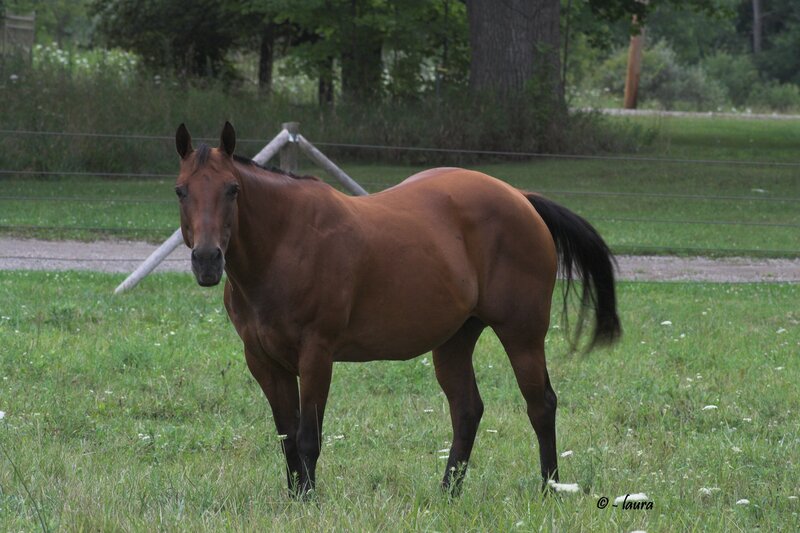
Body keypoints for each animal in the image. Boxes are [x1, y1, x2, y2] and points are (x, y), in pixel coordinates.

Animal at [174, 122, 621, 497]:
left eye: (232, 189)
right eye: (181, 190)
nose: (207, 260)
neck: (285, 243)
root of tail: (521, 199)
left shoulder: (316, 354)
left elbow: (307, 437)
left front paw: (309, 502)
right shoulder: (263, 360)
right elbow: (286, 436)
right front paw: (296, 496)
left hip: (522, 334)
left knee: (540, 405)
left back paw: (550, 488)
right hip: (455, 340)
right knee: (467, 410)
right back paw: (447, 493)